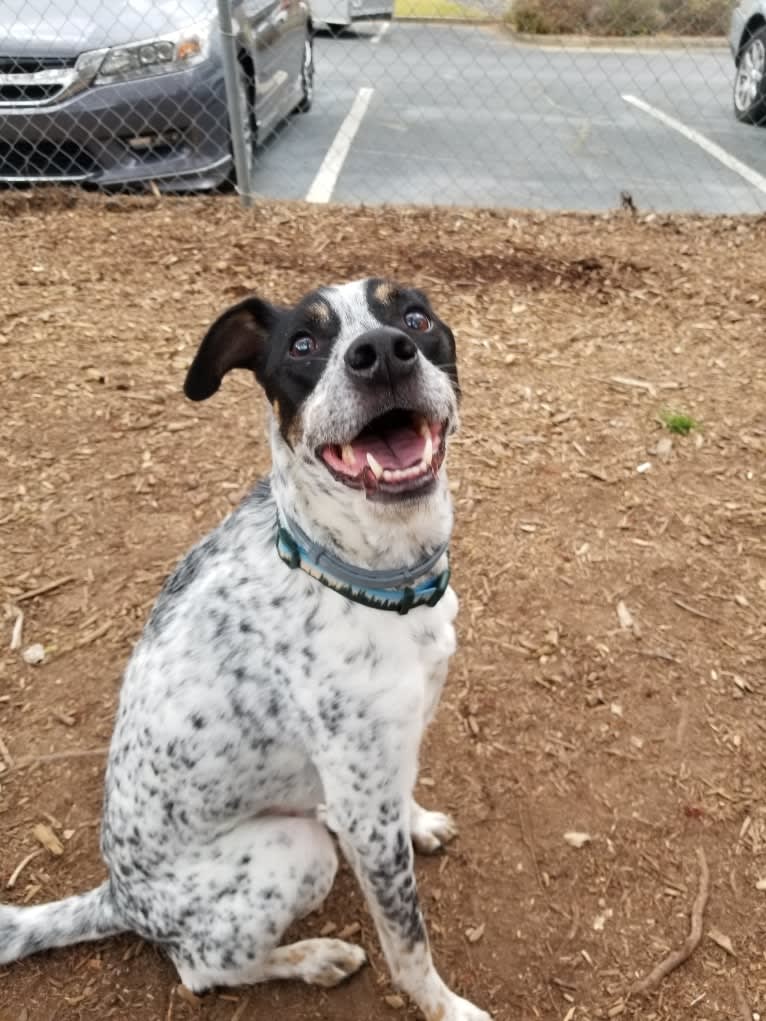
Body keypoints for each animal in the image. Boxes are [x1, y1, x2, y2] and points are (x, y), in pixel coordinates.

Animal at [0, 279, 492, 1021]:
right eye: (303, 344)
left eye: (415, 317)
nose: (381, 352)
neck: (359, 572)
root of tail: (119, 897)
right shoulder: (363, 796)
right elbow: (409, 942)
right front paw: (446, 1006)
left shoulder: (382, 763)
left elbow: (401, 797)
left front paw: (420, 822)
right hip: (295, 854)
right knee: (202, 968)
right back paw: (313, 957)